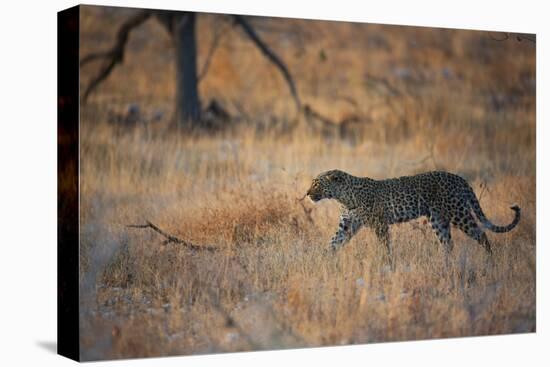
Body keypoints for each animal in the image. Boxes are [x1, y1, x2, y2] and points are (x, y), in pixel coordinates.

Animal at [306, 170, 520, 262]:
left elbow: (385, 245)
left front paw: (387, 262)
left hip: (458, 213)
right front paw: (322, 259)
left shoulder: (379, 224)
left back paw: (490, 261)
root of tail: (460, 179)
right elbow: (333, 242)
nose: (307, 193)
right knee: (448, 243)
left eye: (317, 184)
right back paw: (444, 264)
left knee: (481, 234)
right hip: (438, 219)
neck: (342, 197)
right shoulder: (347, 224)